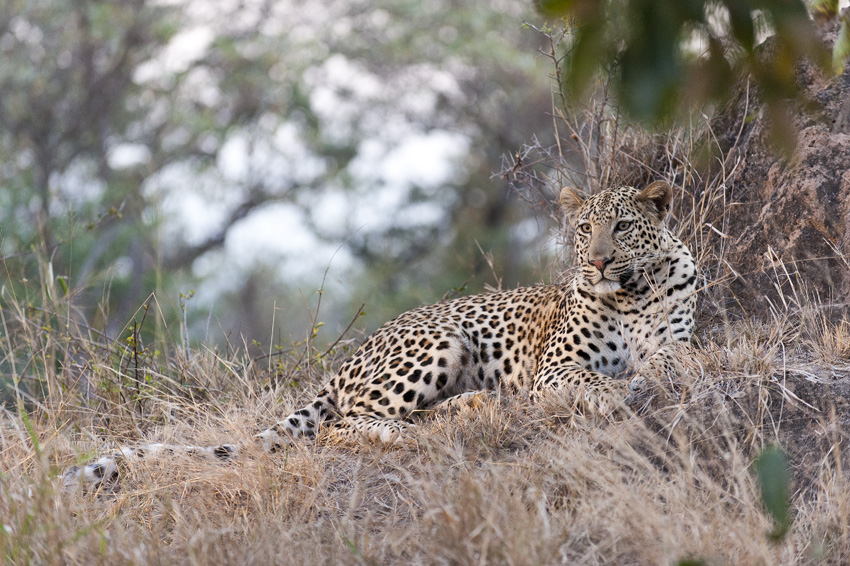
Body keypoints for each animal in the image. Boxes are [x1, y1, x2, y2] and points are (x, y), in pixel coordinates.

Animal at [61, 183, 696, 492]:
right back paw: (415, 429)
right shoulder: (552, 369)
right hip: (441, 339)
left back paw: (471, 406)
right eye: (585, 227)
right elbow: (592, 378)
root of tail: (344, 362)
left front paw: (656, 374)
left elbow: (677, 357)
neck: (632, 292)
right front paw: (619, 392)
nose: (597, 261)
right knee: (343, 426)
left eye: (622, 226)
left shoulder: (680, 335)